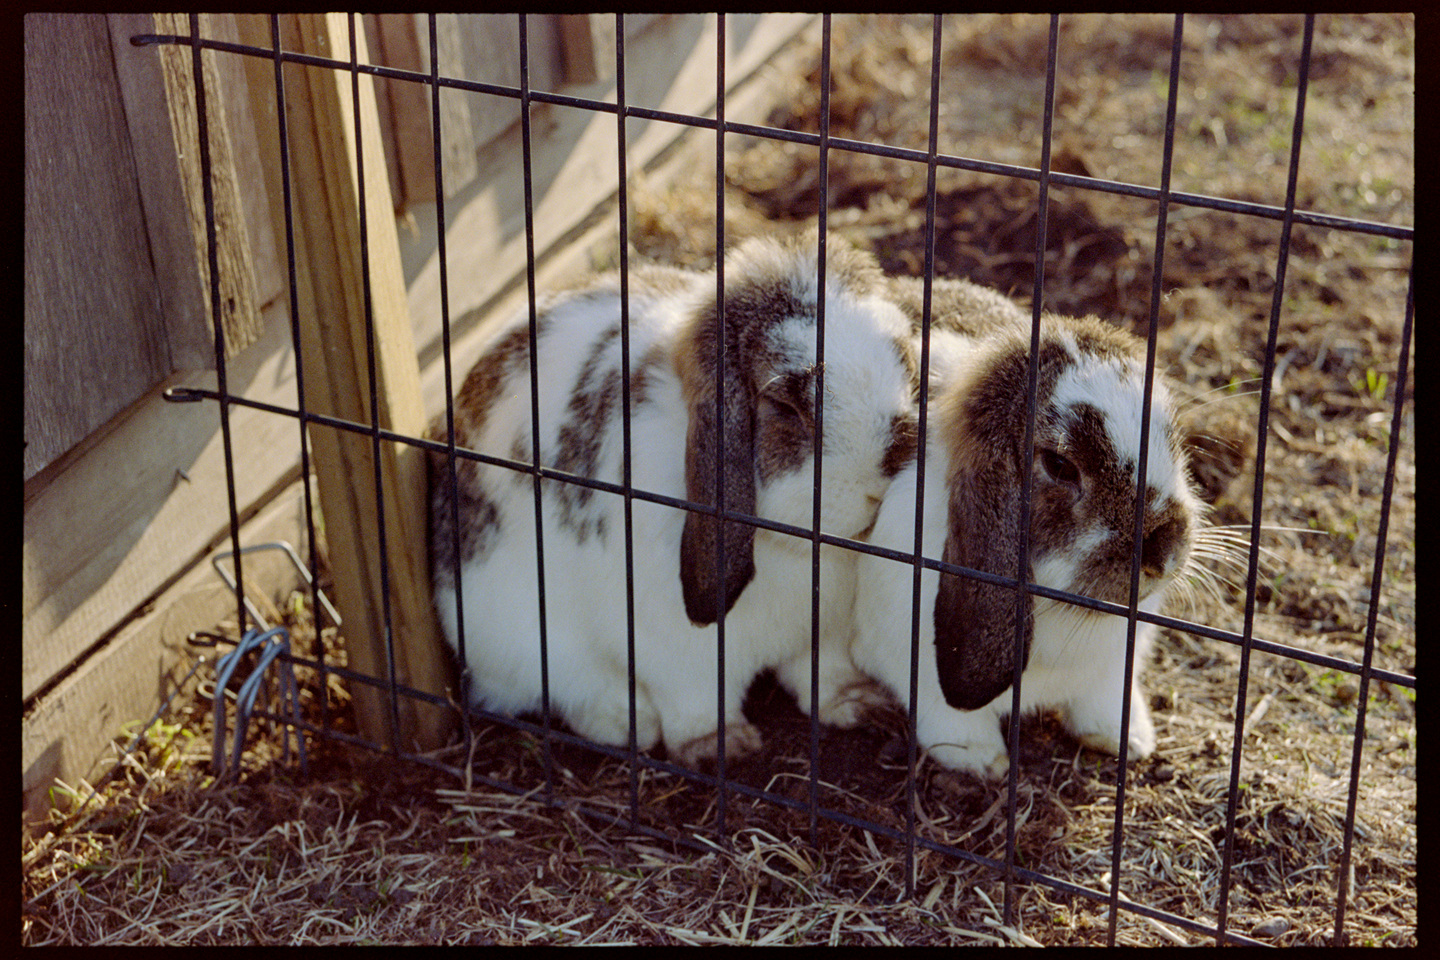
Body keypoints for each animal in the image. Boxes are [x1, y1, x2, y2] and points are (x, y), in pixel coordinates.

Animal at [428, 231, 917, 766]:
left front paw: (859, 702)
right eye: (785, 406)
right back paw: (625, 721)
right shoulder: (677, 654)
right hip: (516, 638)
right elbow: (696, 703)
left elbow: (823, 673)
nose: (882, 481)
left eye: (903, 362)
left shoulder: (824, 629)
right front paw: (719, 748)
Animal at [851, 279, 1204, 778]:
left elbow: (1104, 702)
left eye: (1171, 438)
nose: (1165, 550)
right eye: (1059, 465)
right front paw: (982, 759)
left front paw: (1124, 740)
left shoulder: (1113, 667)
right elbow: (950, 715)